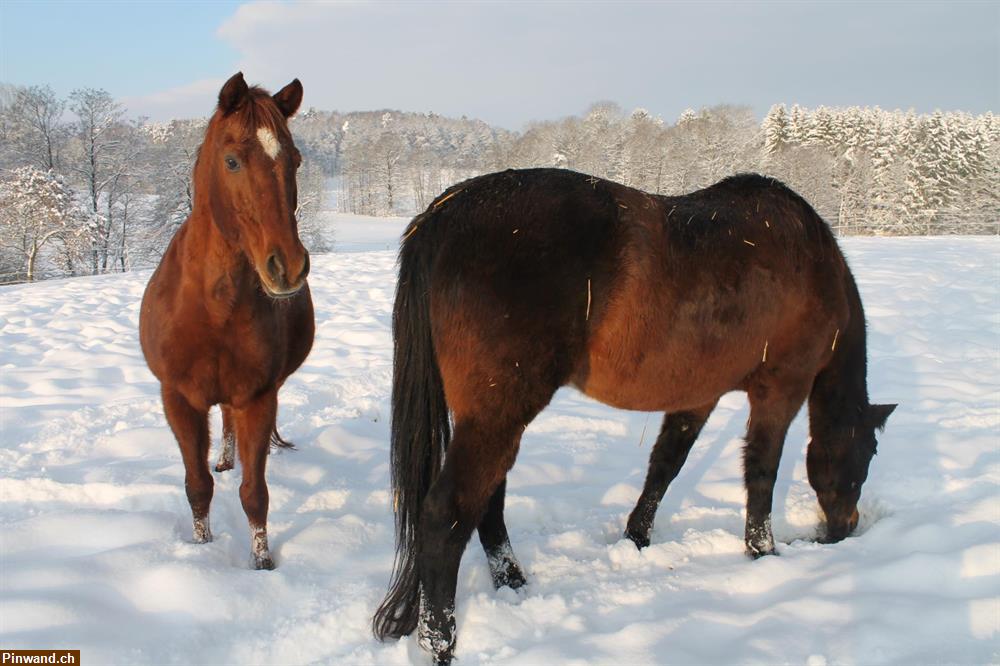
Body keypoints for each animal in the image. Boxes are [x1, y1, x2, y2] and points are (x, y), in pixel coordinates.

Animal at [141, 74, 312, 572]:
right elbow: (197, 485)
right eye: (232, 161)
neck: (211, 309)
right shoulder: (178, 399)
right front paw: (201, 547)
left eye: (294, 160)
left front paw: (262, 561)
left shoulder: (257, 396)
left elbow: (255, 493)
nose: (288, 267)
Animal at [376, 167, 900, 660]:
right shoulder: (779, 391)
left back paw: (514, 584)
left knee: (488, 504)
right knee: (446, 515)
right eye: (865, 457)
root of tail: (441, 215)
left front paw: (636, 538)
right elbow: (761, 474)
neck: (811, 261)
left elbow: (666, 465)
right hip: (497, 415)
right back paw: (442, 642)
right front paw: (763, 551)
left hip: (494, 417)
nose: (845, 528)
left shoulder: (697, 394)